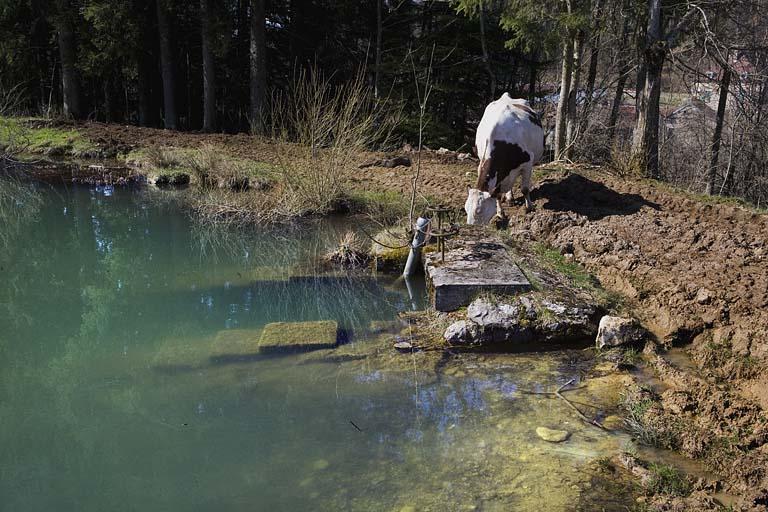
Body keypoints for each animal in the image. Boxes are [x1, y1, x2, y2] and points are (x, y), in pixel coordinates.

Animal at [464, 93, 544, 224]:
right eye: (466, 209)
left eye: (479, 211)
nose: (469, 226)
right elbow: (497, 194)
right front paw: (500, 213)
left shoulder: (528, 162)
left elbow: (525, 189)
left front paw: (529, 207)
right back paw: (509, 197)